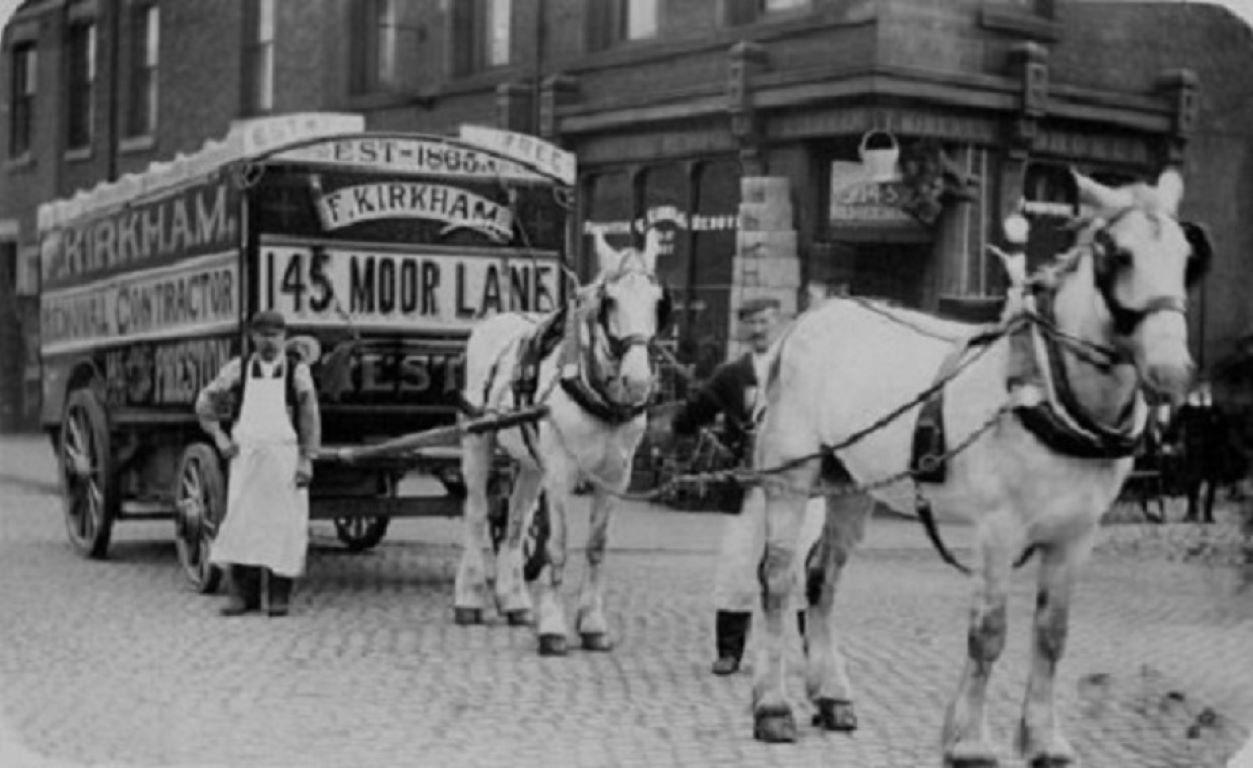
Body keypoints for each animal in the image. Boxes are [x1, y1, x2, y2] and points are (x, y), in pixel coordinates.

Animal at [448, 228, 666, 651]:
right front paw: (553, 627)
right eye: (610, 302)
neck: (591, 386)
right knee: (478, 514)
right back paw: (469, 599)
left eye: (658, 301)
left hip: (532, 462)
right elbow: (559, 547)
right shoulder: (562, 472)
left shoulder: (616, 476)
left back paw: (514, 602)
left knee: (515, 521)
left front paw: (593, 624)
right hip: (478, 442)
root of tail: (495, 321)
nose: (637, 381)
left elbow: (596, 548)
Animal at [746, 169, 1207, 766]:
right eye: (1120, 255)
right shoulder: (999, 529)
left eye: (1185, 257)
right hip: (791, 479)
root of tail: (812, 317)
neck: (1048, 385)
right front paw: (968, 740)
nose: (1173, 371)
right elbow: (988, 632)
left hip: (852, 485)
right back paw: (772, 707)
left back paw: (832, 697)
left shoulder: (1075, 535)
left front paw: (1044, 739)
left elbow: (1052, 635)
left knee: (822, 578)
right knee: (778, 579)